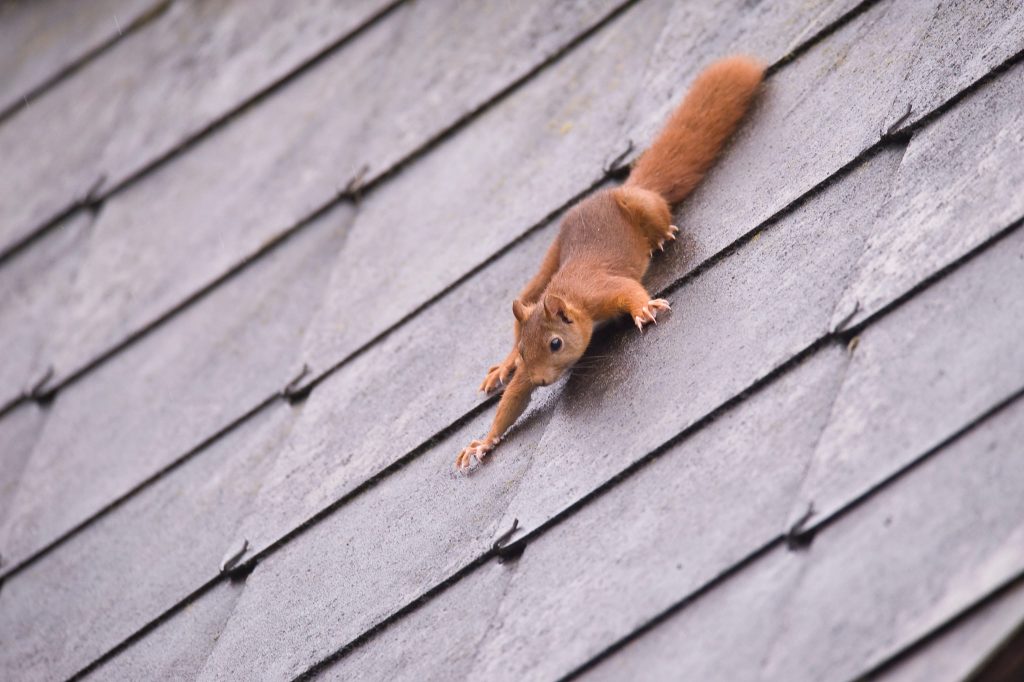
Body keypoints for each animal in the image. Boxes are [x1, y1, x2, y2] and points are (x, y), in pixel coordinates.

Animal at [455, 56, 764, 471]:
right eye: (524, 351)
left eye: (555, 343)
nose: (540, 380)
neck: (570, 300)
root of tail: (618, 190)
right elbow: (513, 401)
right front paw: (483, 441)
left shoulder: (599, 291)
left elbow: (628, 290)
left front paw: (644, 308)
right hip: (551, 257)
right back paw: (500, 368)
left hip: (642, 207)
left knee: (656, 217)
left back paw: (661, 237)